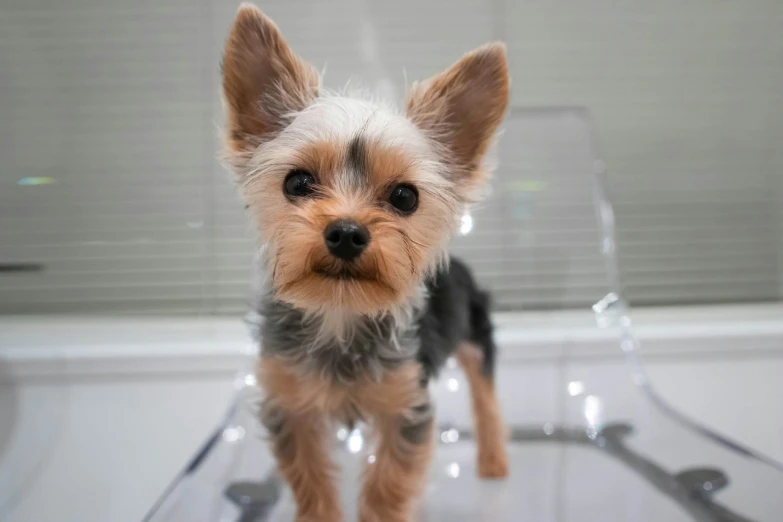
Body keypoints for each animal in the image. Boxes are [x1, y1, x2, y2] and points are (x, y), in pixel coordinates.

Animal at [222, 5, 508, 520]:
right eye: (297, 183)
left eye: (404, 196)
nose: (347, 232)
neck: (341, 311)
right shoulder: (291, 405)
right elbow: (311, 481)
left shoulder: (406, 406)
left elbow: (387, 487)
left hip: (476, 334)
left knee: (486, 395)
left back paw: (494, 460)